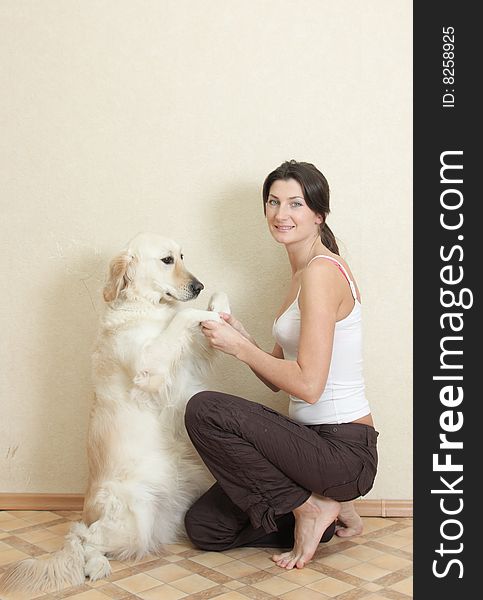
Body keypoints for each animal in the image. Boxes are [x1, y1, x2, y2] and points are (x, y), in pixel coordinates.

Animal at [0, 232, 231, 592]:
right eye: (167, 260)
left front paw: (219, 304)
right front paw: (202, 312)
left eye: (183, 256)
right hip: (133, 519)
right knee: (81, 537)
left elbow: (207, 321)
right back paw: (95, 566)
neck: (147, 308)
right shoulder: (150, 368)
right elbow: (183, 318)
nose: (198, 286)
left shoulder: (189, 360)